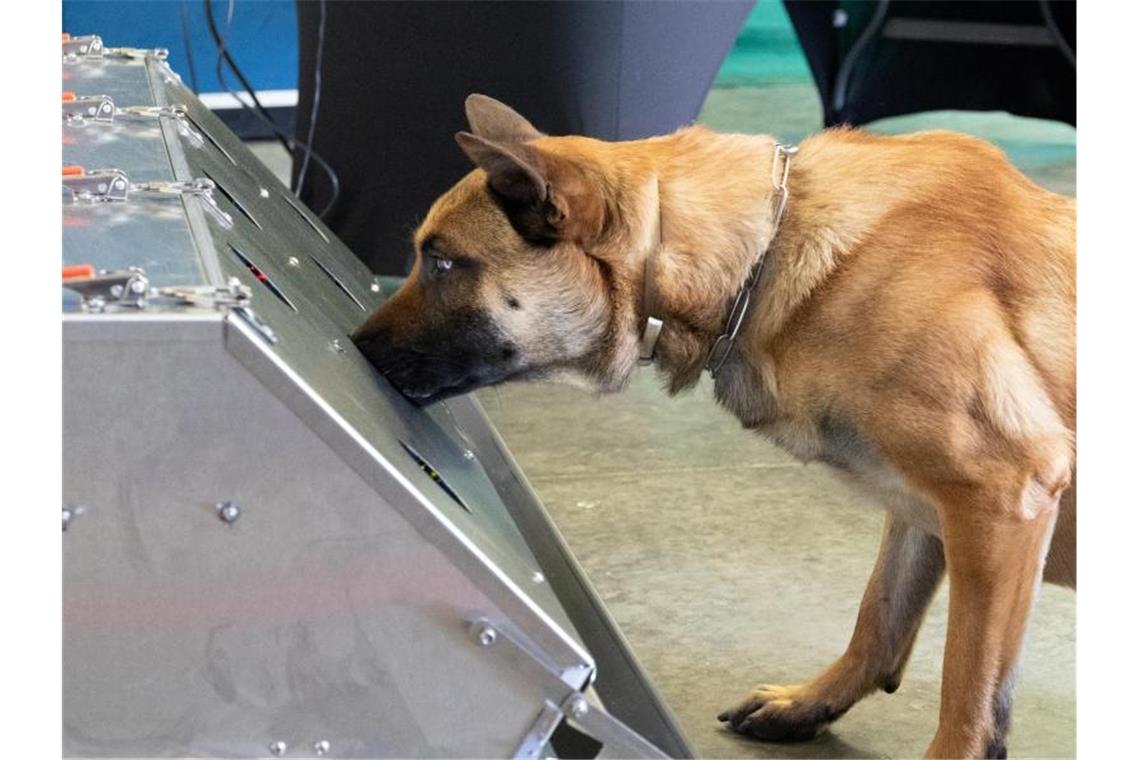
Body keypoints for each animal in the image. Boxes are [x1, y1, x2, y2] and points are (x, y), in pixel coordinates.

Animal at [355, 96, 1076, 760]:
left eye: (443, 263)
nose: (354, 344)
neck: (770, 251)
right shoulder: (924, 507)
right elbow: (879, 618)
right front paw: (810, 703)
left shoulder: (998, 500)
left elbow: (969, 693)